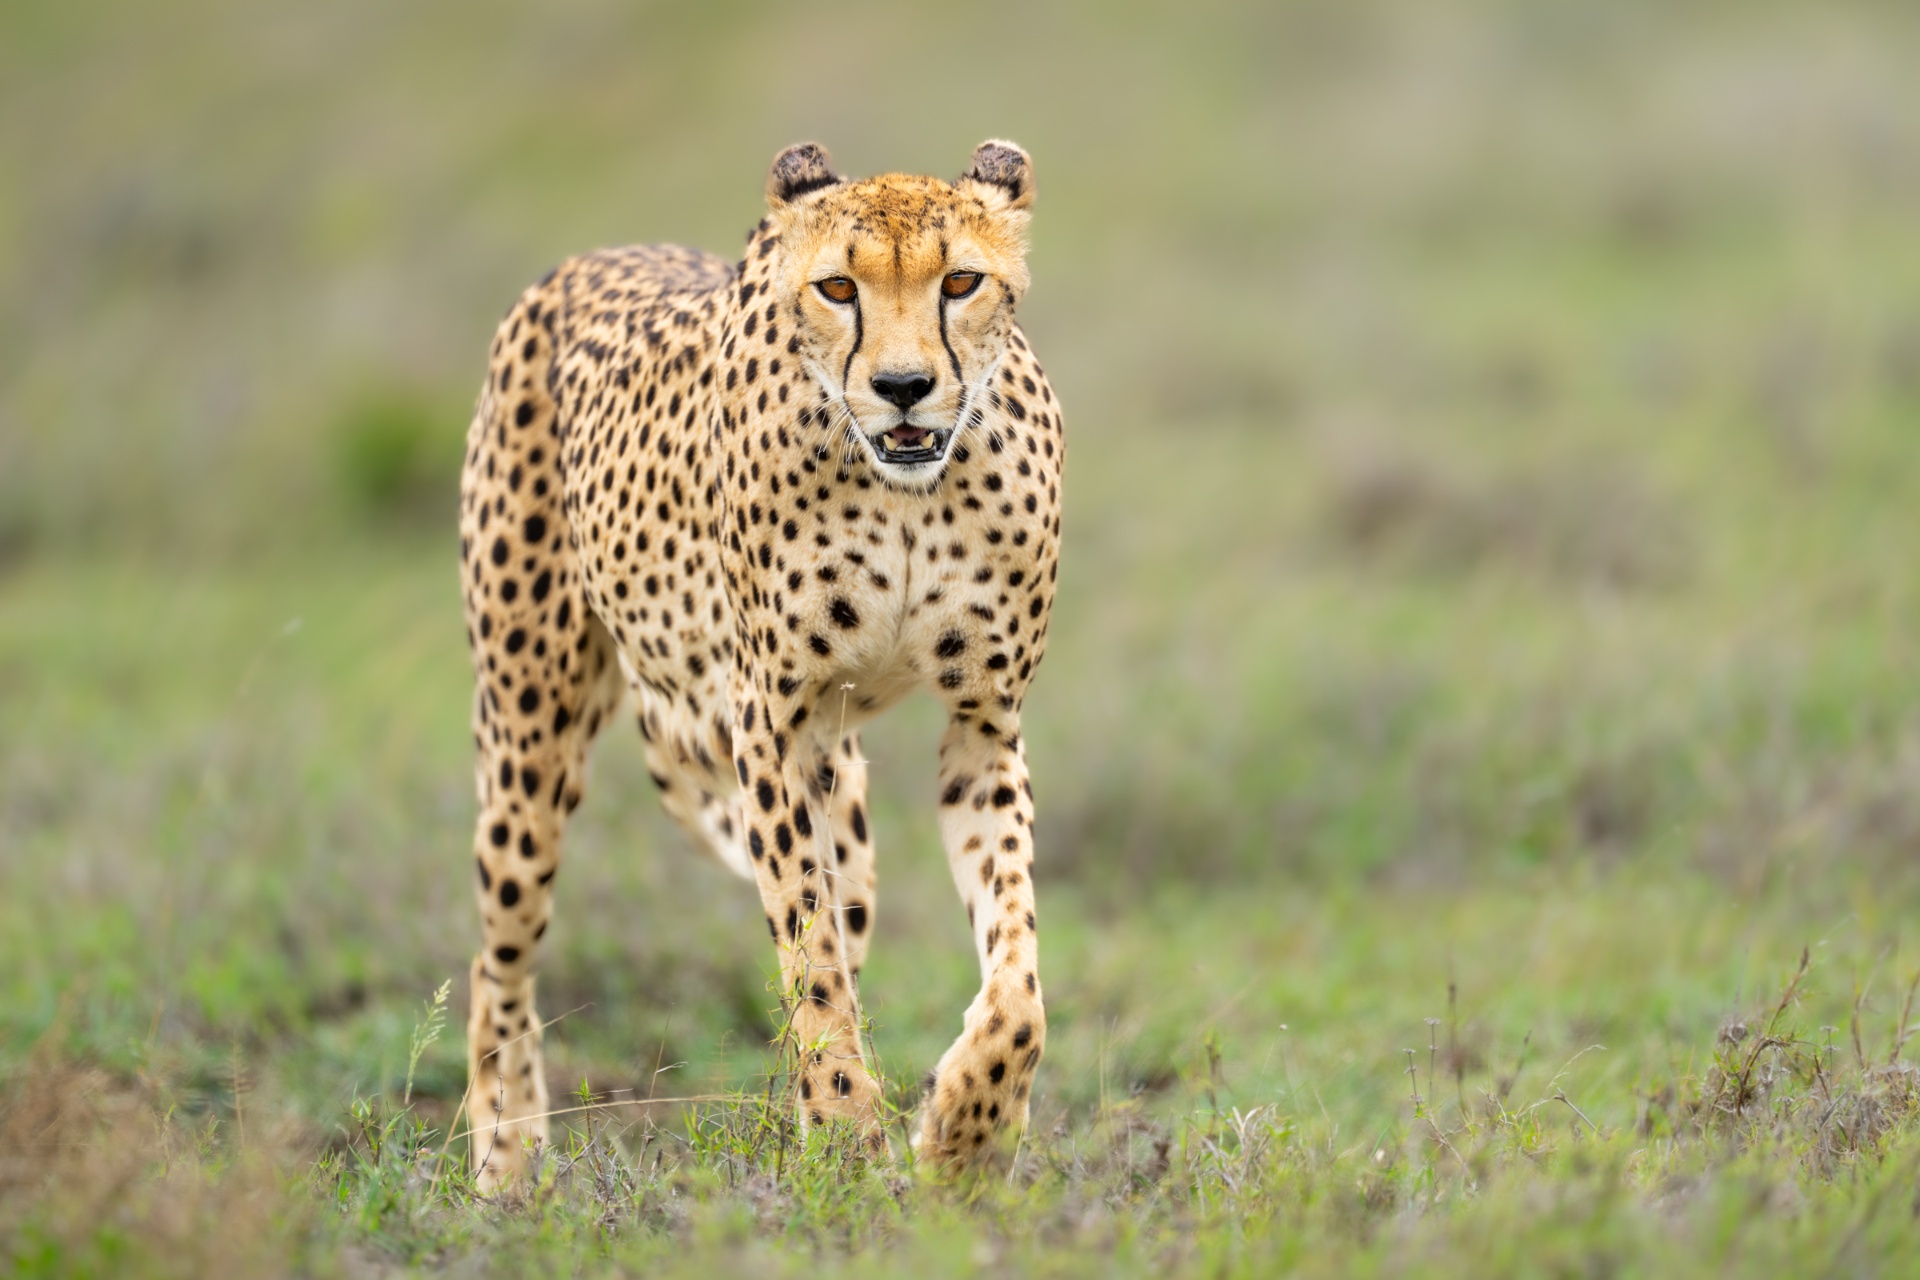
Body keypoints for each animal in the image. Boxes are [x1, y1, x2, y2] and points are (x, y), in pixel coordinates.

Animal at [456, 139, 1062, 1190]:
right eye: (837, 288)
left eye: (960, 282)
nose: (904, 387)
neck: (906, 491)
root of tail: (586, 260)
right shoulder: (769, 725)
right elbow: (809, 960)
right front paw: (850, 1141)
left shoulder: (983, 724)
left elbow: (1016, 971)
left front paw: (965, 1135)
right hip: (529, 738)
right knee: (500, 957)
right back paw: (507, 1157)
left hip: (843, 797)